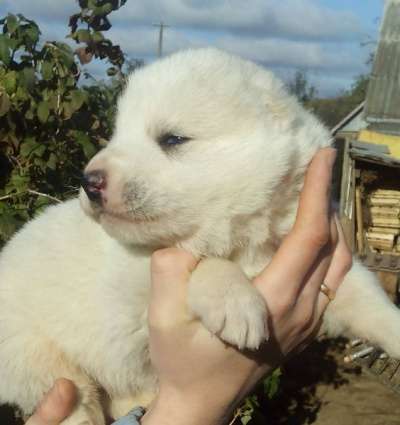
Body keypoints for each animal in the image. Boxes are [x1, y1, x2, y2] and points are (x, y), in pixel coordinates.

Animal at [0, 48, 400, 422]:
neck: (245, 242)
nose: (89, 182)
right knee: (72, 397)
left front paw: (395, 332)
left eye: (173, 139)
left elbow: (366, 295)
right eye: (116, 134)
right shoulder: (134, 285)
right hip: (33, 354)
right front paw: (235, 302)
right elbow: (202, 262)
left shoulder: (325, 260)